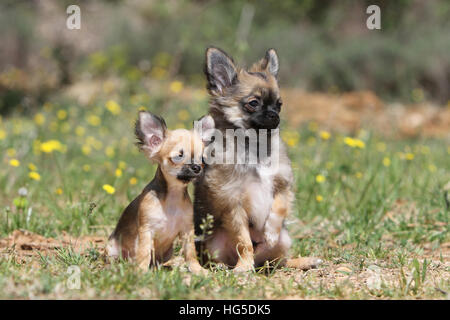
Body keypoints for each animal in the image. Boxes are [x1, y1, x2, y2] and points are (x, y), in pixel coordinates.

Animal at [107, 111, 213, 274]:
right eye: (179, 156)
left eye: (201, 158)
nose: (196, 167)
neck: (172, 197)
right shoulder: (146, 231)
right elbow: (144, 252)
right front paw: (141, 271)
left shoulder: (187, 231)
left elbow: (190, 252)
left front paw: (197, 269)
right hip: (112, 248)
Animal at [195, 47, 322, 272]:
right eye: (253, 103)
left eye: (279, 105)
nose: (274, 115)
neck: (255, 147)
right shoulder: (232, 203)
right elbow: (244, 241)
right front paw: (244, 268)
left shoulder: (282, 185)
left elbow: (279, 208)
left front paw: (270, 232)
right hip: (214, 246)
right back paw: (233, 267)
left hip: (284, 240)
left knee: (279, 261)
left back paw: (303, 261)